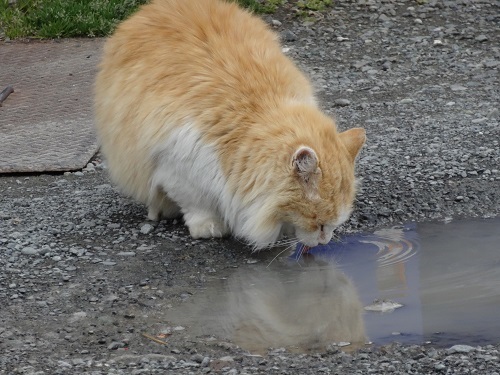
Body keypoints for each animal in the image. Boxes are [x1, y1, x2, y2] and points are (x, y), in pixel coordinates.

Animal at [94, 0, 368, 250]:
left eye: (332, 225)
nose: (325, 241)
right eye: (318, 223)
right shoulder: (178, 168)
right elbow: (196, 204)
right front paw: (208, 227)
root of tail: (154, 6)